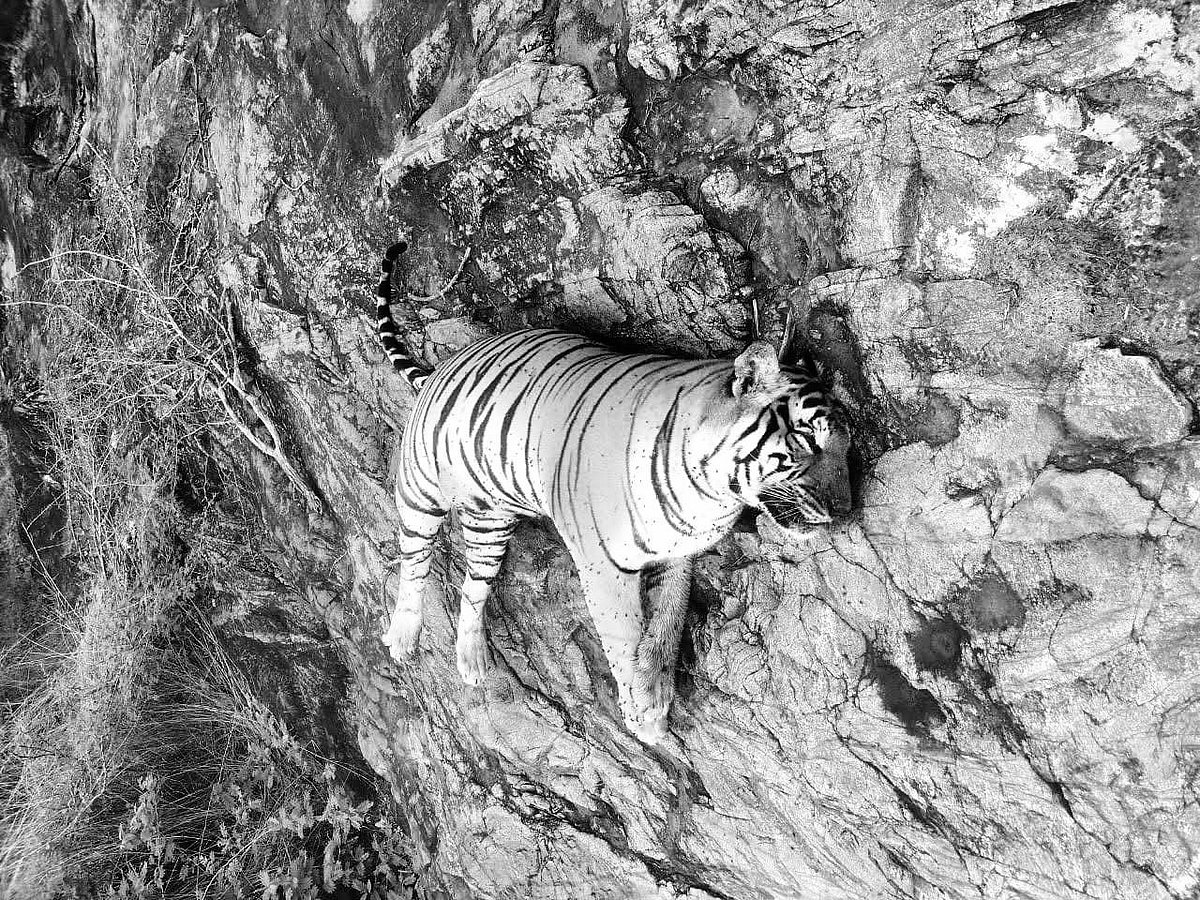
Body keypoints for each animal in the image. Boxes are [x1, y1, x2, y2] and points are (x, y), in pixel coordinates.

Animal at [374, 240, 851, 743]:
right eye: (809, 438)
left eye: (849, 447)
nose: (845, 510)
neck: (711, 496)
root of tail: (441, 367)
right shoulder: (603, 564)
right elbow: (624, 634)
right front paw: (640, 712)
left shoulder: (676, 553)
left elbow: (666, 624)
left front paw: (654, 695)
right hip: (420, 492)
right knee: (413, 562)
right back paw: (402, 637)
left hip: (491, 521)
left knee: (474, 585)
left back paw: (472, 661)